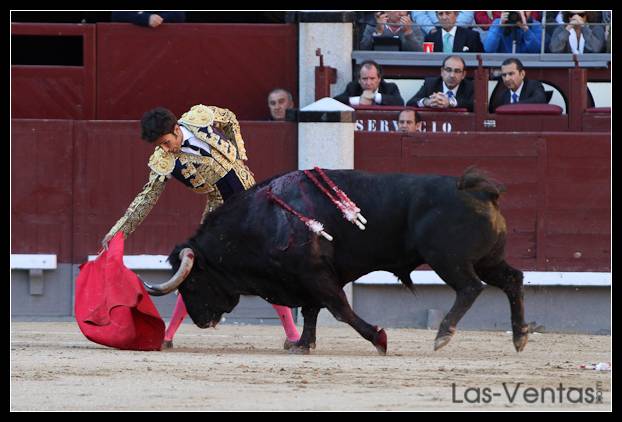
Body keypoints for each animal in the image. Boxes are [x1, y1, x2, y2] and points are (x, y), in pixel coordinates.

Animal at [143, 166, 532, 354]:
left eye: (193, 281)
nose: (201, 320)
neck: (264, 219)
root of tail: (480, 191)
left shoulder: (315, 275)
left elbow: (339, 309)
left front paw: (379, 339)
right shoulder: (306, 278)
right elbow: (313, 311)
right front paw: (302, 344)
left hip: (448, 260)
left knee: (469, 288)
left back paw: (443, 334)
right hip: (487, 259)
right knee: (512, 279)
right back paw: (519, 337)